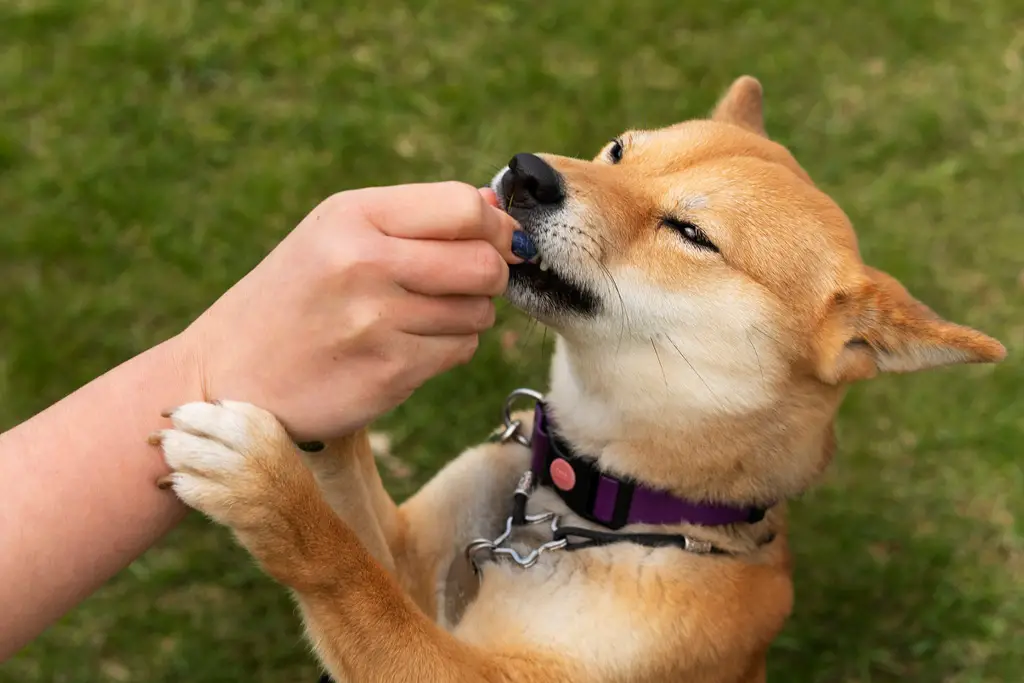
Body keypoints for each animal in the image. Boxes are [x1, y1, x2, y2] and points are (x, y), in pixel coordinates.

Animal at [151, 77, 999, 679]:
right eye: (619, 150)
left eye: (691, 233)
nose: (527, 174)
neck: (581, 502)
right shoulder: (414, 555)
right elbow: (361, 525)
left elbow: (352, 580)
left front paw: (267, 486)